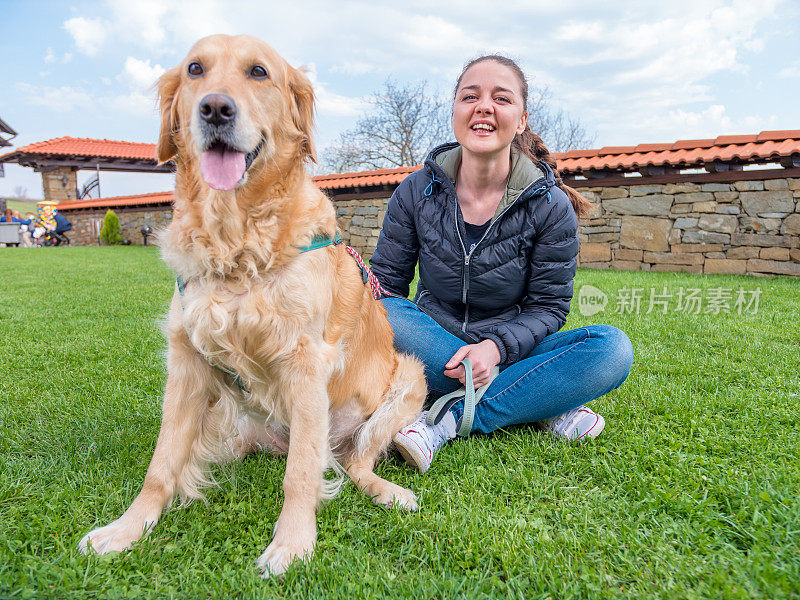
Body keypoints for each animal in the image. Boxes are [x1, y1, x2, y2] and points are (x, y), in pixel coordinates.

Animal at [79, 36, 428, 576]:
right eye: (195, 69)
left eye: (259, 72)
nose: (215, 109)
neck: (236, 244)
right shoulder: (186, 361)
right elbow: (161, 465)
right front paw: (126, 529)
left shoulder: (306, 363)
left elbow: (300, 473)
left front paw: (292, 544)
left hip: (409, 379)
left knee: (353, 463)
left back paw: (388, 491)